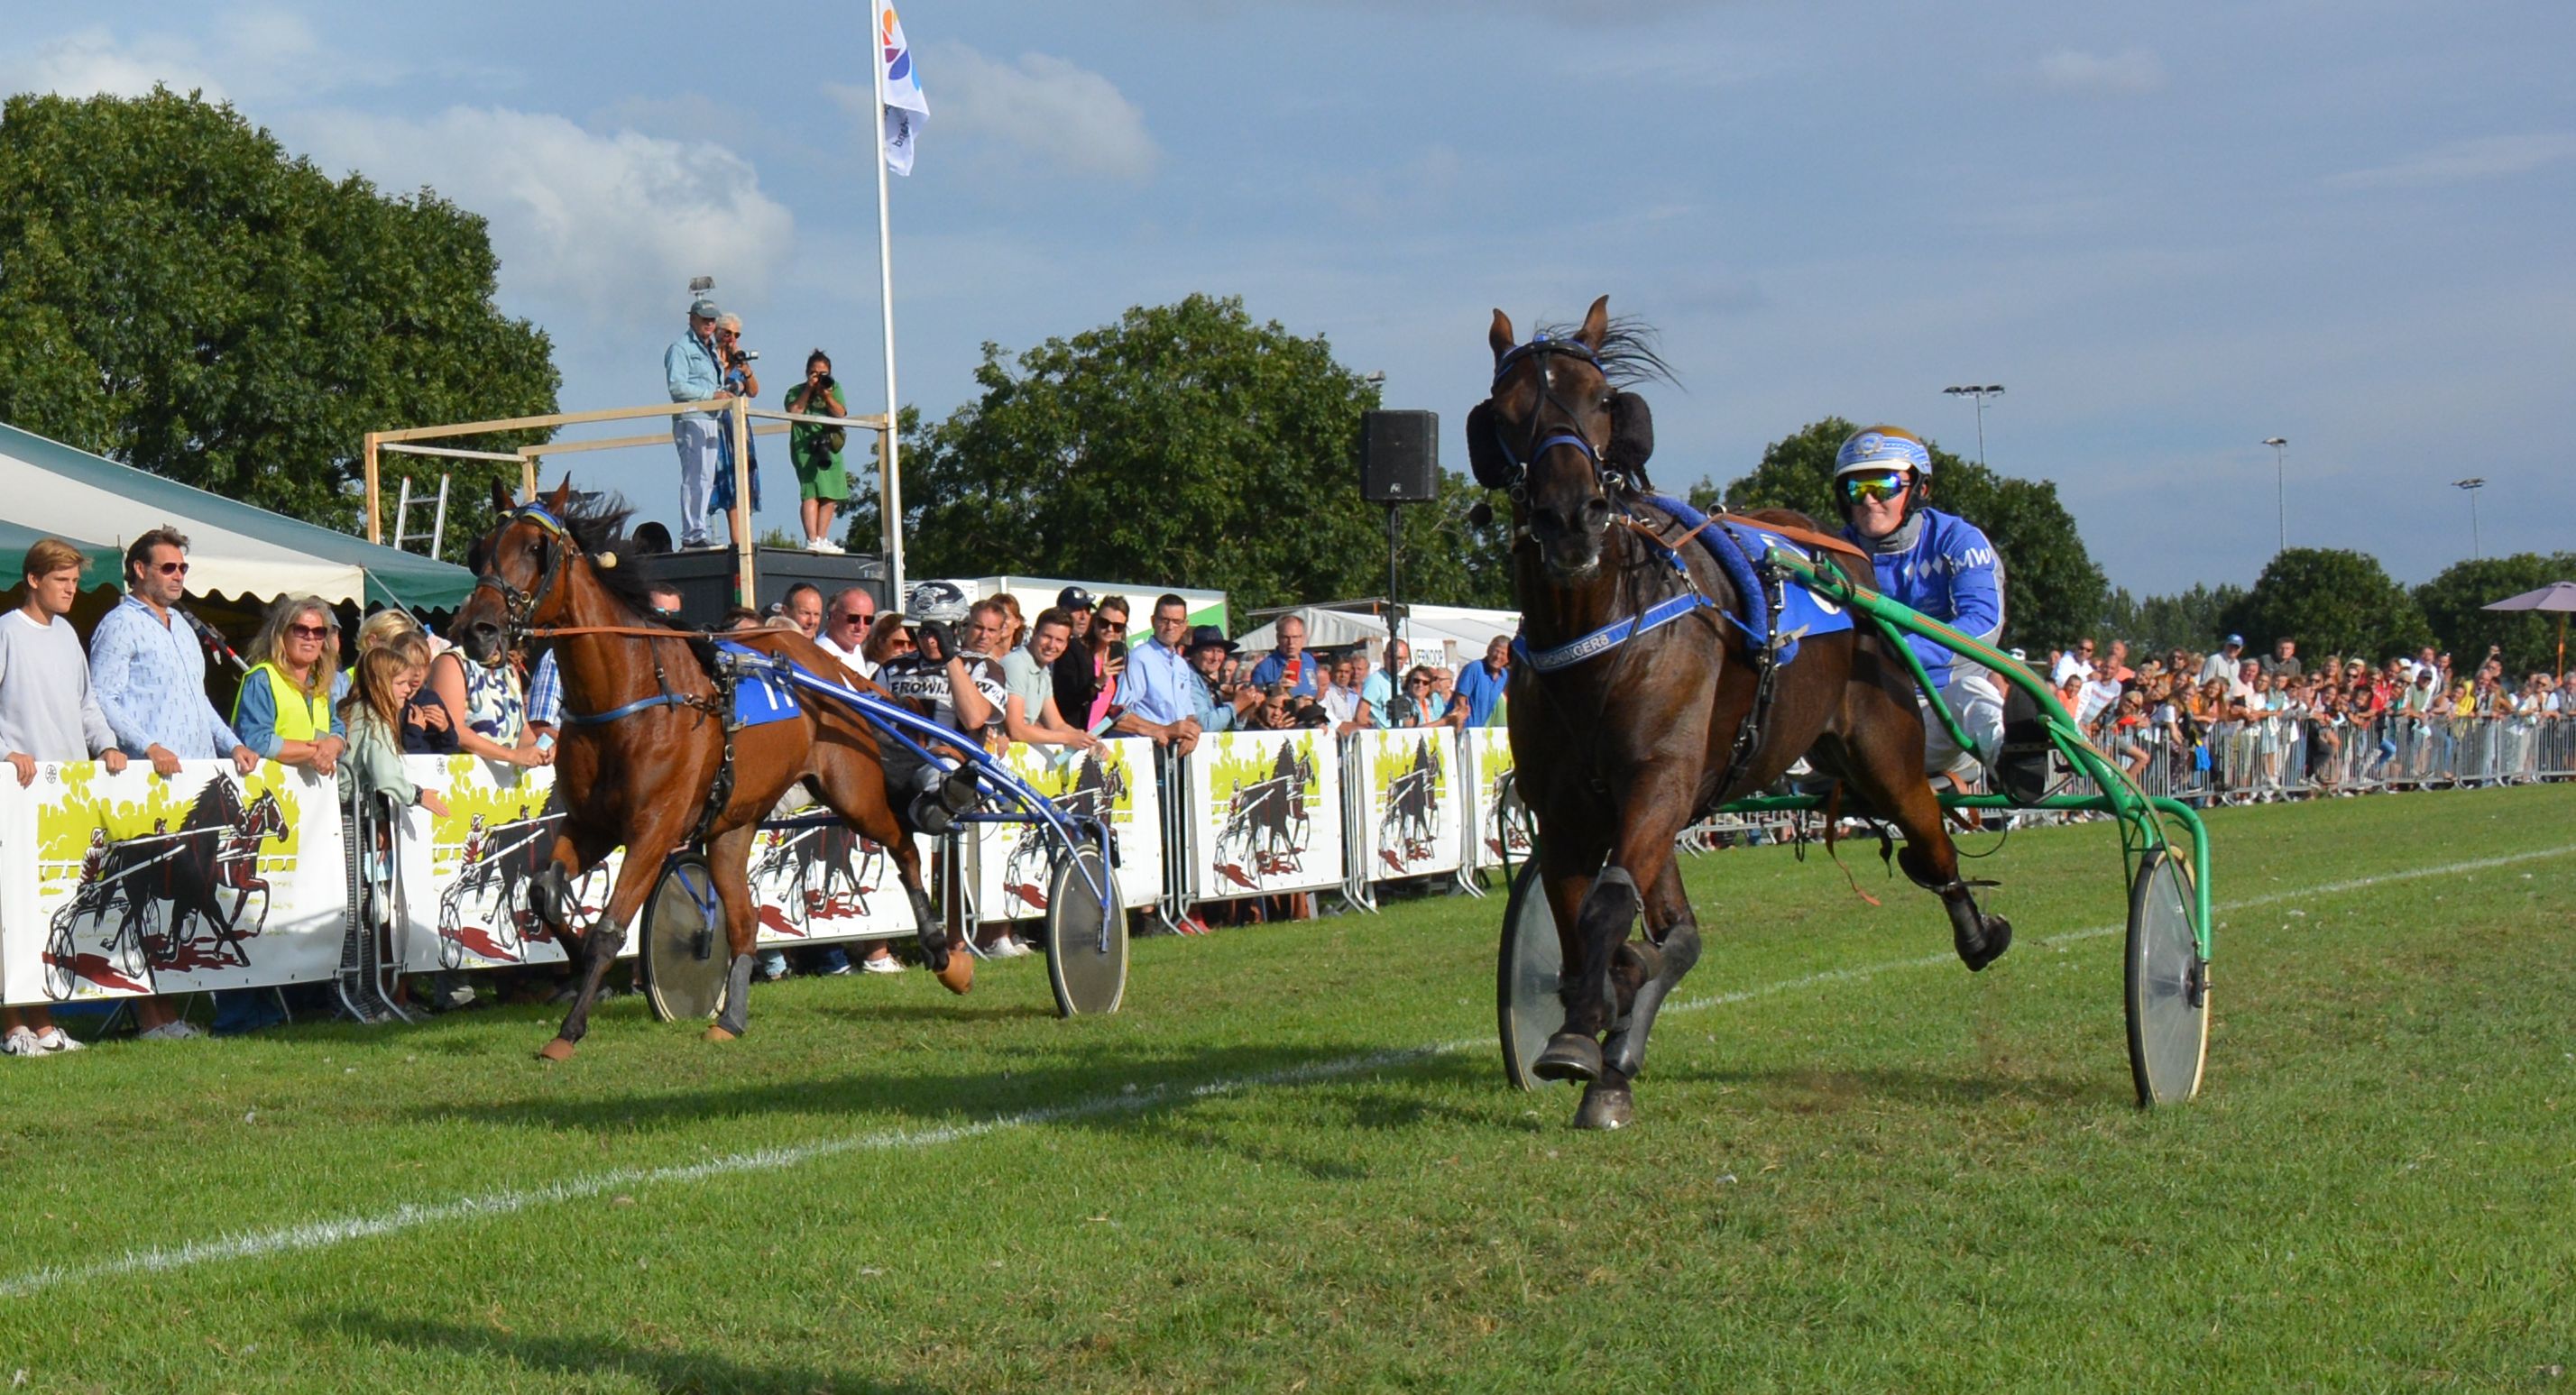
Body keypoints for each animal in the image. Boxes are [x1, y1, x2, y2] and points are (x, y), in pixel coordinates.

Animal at [447, 481, 963, 1060]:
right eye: (480, 549)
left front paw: (570, 1028)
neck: (629, 694)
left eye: (537, 548)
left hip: (851, 789)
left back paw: (945, 955)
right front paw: (579, 966)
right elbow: (544, 892)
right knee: (744, 922)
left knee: (901, 844)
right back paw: (730, 1017)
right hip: (732, 826)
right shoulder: (590, 824)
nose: (477, 629)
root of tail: (827, 664)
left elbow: (609, 928)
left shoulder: (653, 830)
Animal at [1473, 300, 2009, 1132]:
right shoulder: (1565, 811)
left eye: (1603, 400)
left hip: (1887, 753)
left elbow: (1612, 908)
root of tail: (1842, 561)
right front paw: (1598, 1022)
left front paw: (1583, 1032)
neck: (1598, 632)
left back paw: (1982, 932)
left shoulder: (1658, 779)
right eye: (1503, 412)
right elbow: (1591, 924)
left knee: (1935, 847)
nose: (1569, 518)